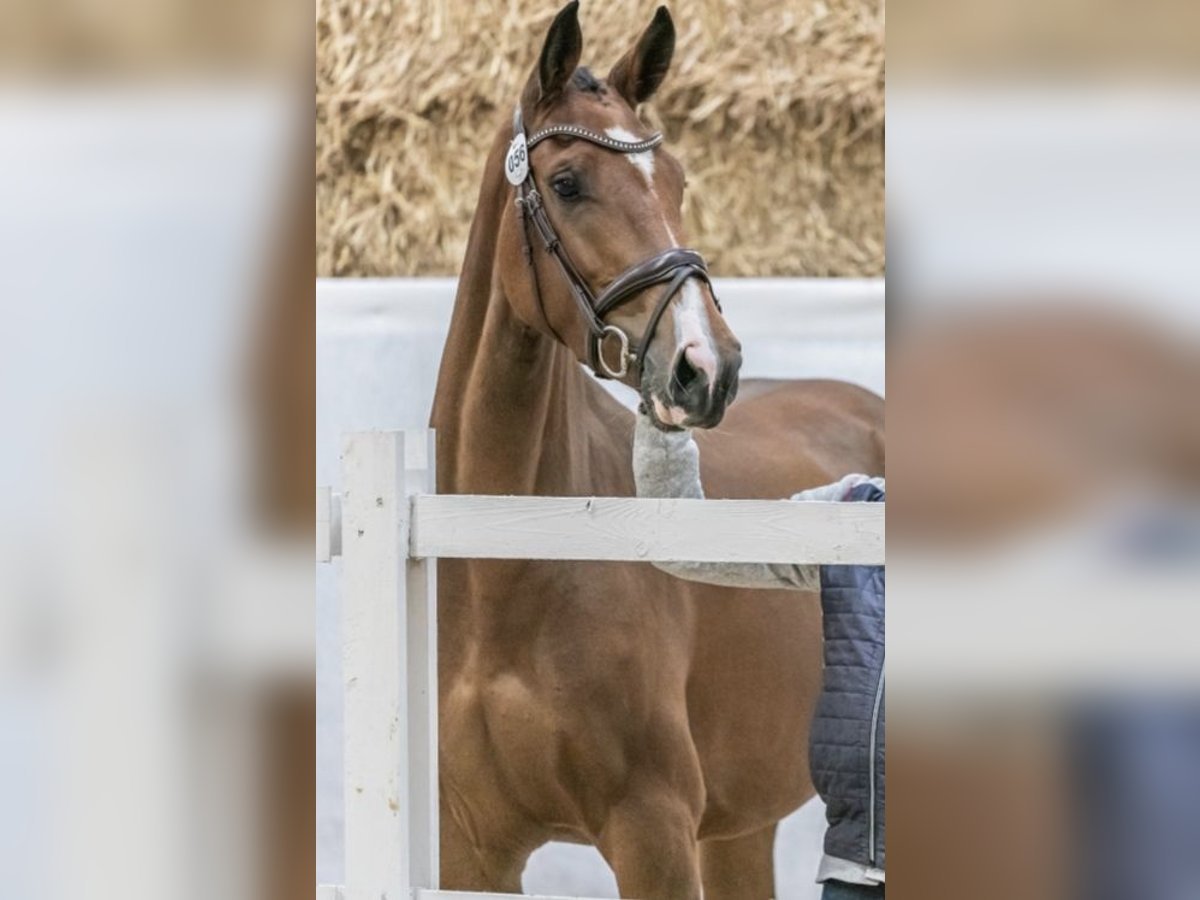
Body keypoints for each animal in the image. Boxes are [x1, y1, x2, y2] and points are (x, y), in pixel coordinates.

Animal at [432, 3, 883, 897]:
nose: (708, 366)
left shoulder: (652, 831)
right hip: (740, 823)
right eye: (568, 183)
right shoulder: (470, 848)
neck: (508, 574)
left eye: (676, 181)